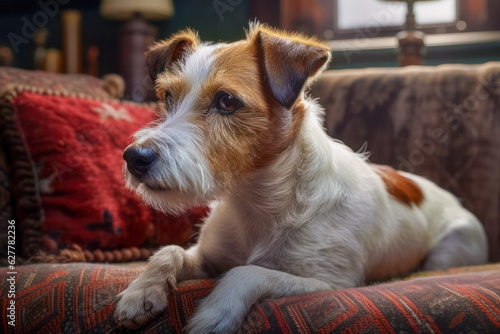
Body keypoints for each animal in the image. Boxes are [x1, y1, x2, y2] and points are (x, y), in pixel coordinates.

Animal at [114, 22, 488, 332]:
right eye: (167, 97)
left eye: (226, 101)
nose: (134, 158)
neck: (260, 200)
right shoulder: (208, 257)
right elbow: (171, 250)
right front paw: (140, 292)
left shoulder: (330, 281)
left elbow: (247, 271)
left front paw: (215, 311)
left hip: (448, 252)